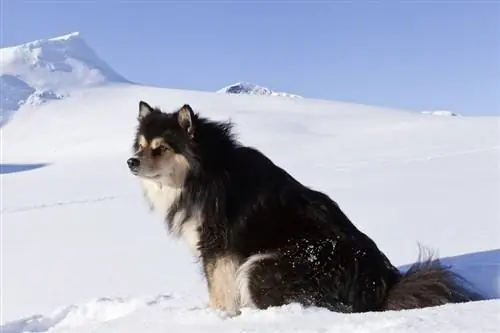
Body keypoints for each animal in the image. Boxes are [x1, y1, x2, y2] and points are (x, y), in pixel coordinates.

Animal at [127, 100, 482, 314]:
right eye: (141, 146)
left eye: (161, 148)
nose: (131, 162)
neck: (202, 172)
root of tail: (379, 288)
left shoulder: (218, 248)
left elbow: (219, 292)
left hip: (259, 266)